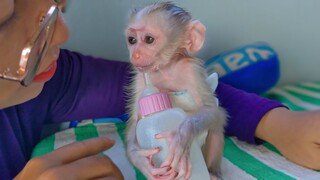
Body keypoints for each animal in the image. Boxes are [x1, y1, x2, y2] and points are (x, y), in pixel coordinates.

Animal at [124, 1, 226, 180]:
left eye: (149, 39)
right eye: (132, 40)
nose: (135, 55)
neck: (165, 68)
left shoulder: (190, 70)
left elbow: (211, 110)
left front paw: (181, 137)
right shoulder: (140, 79)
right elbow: (135, 121)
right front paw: (140, 160)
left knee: (215, 126)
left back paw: (213, 173)